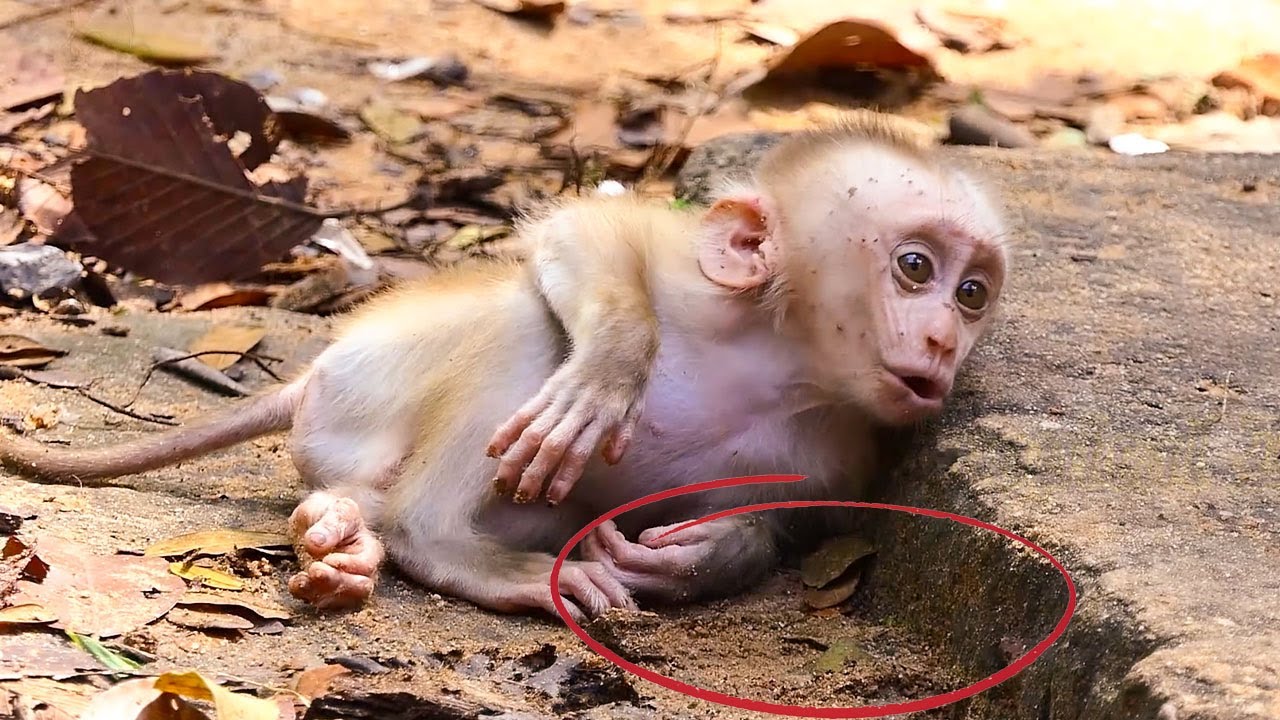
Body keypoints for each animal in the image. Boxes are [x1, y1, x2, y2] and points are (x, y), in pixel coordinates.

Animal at [0, 112, 1010, 621]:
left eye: (972, 293)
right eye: (913, 267)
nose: (941, 342)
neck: (775, 361)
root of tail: (310, 377)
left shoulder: (834, 447)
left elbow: (774, 521)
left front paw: (702, 557)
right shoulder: (698, 282)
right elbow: (586, 238)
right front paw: (608, 374)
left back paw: (343, 539)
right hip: (376, 379)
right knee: (528, 322)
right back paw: (443, 546)